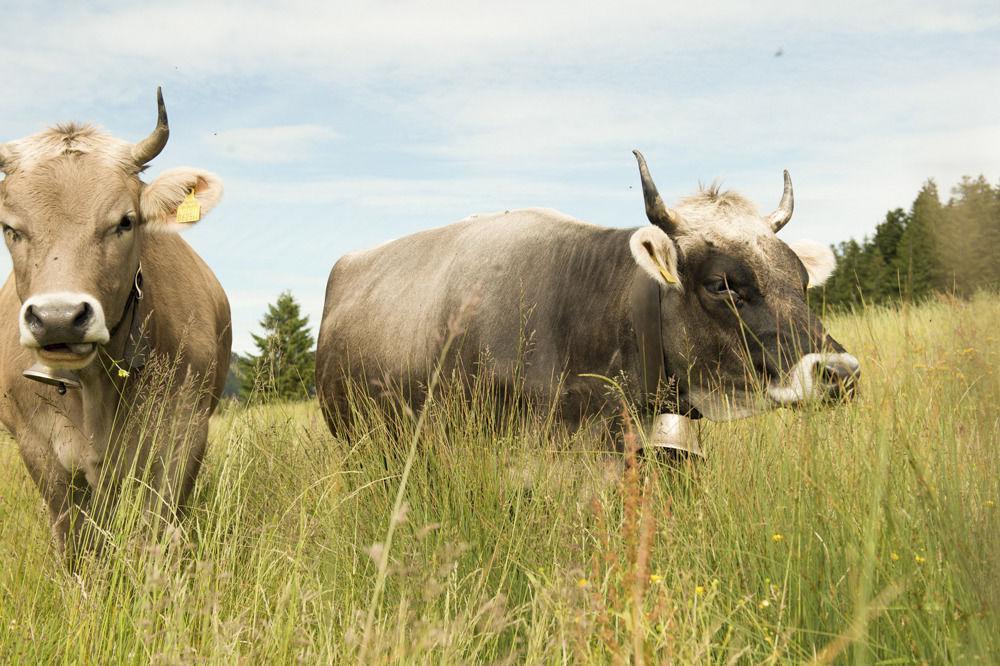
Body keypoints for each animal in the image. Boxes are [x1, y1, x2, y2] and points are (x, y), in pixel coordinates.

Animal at [0, 88, 230, 556]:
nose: (58, 319)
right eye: (10, 228)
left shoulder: (182, 437)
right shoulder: (39, 451)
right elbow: (74, 543)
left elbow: (156, 532)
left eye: (125, 221)